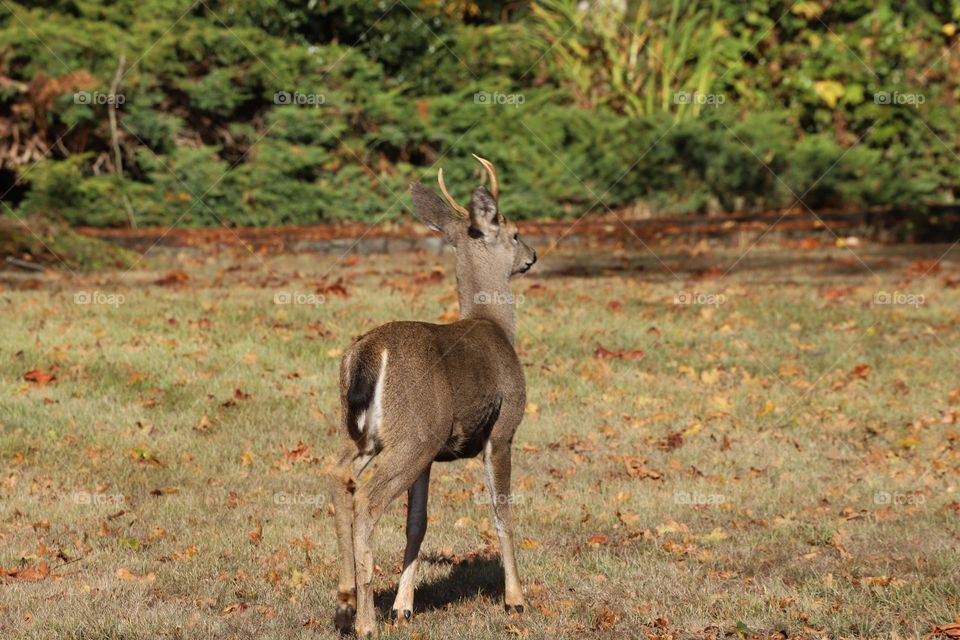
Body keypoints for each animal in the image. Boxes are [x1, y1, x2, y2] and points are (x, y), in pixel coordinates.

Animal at [330, 154, 536, 636]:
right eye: (515, 231)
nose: (532, 257)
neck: (495, 325)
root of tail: (368, 354)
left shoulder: (433, 456)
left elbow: (417, 524)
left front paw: (404, 607)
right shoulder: (504, 427)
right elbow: (502, 513)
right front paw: (516, 599)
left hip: (371, 435)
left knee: (337, 479)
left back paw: (347, 602)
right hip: (413, 434)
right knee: (366, 499)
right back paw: (365, 621)